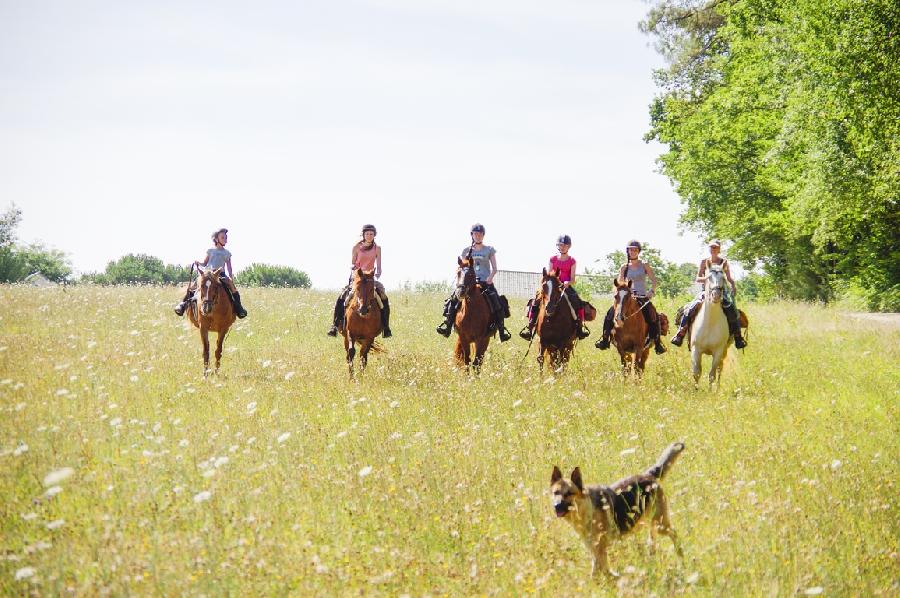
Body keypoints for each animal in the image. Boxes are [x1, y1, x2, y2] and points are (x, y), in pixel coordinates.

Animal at [548, 442, 688, 580]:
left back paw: (681, 557)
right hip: (649, 523)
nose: (556, 506)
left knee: (674, 534)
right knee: (652, 541)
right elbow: (600, 571)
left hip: (660, 524)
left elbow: (600, 571)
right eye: (555, 493)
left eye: (569, 494)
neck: (586, 509)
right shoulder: (595, 550)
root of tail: (649, 475)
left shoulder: (599, 549)